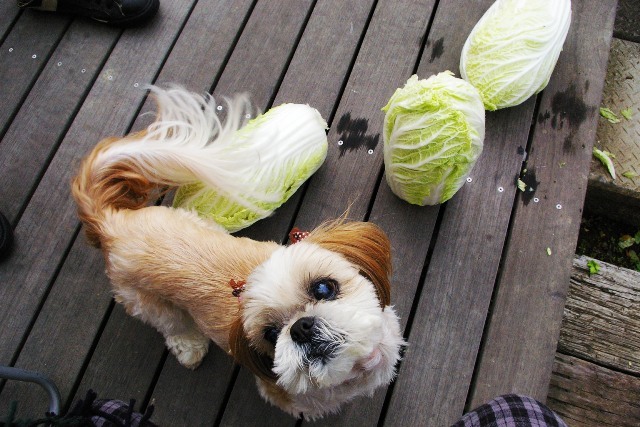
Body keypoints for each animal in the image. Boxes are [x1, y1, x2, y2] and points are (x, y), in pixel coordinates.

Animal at [71, 87, 405, 418]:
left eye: (324, 288)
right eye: (271, 334)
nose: (301, 327)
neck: (357, 370)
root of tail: (113, 222)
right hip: (147, 302)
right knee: (172, 325)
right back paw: (189, 346)